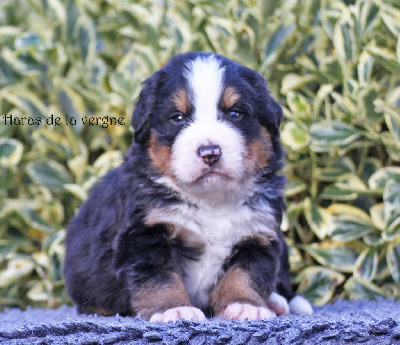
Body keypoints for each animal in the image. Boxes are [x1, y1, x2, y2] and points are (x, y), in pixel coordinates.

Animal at [65, 51, 312, 322]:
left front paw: (246, 306)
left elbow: (245, 275)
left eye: (235, 114)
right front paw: (173, 309)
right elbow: (160, 278)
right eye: (178, 118)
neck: (212, 200)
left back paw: (278, 301)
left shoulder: (258, 233)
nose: (210, 152)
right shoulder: (145, 233)